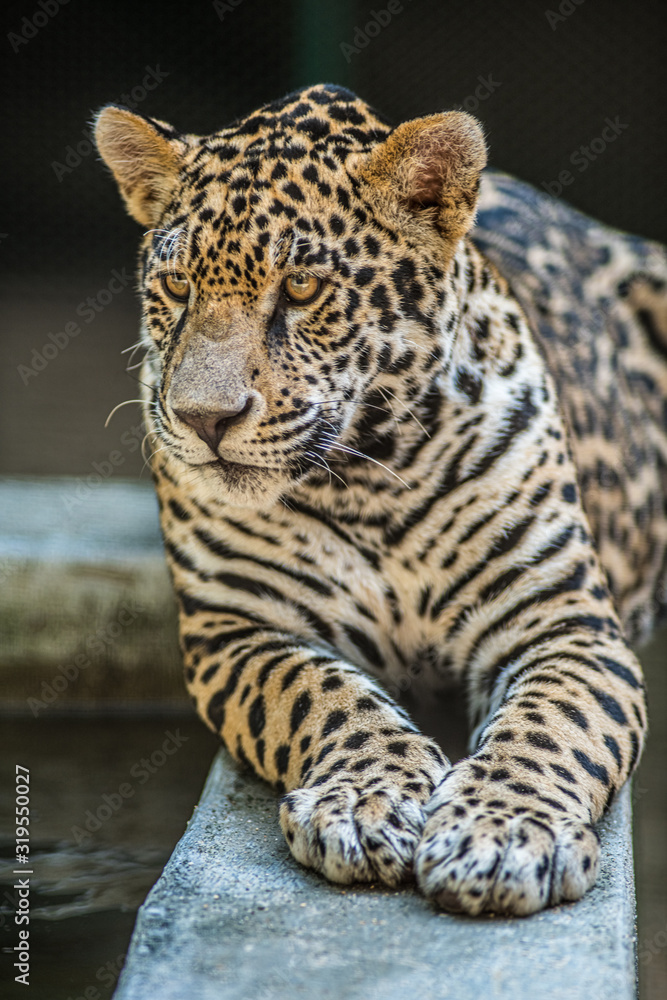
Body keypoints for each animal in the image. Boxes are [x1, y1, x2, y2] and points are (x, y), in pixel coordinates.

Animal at [94, 84, 667, 917]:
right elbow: (320, 694)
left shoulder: (562, 620)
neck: (370, 481)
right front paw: (366, 802)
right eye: (176, 287)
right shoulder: (238, 628)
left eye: (301, 287)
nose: (203, 418)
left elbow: (548, 720)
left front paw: (500, 834)